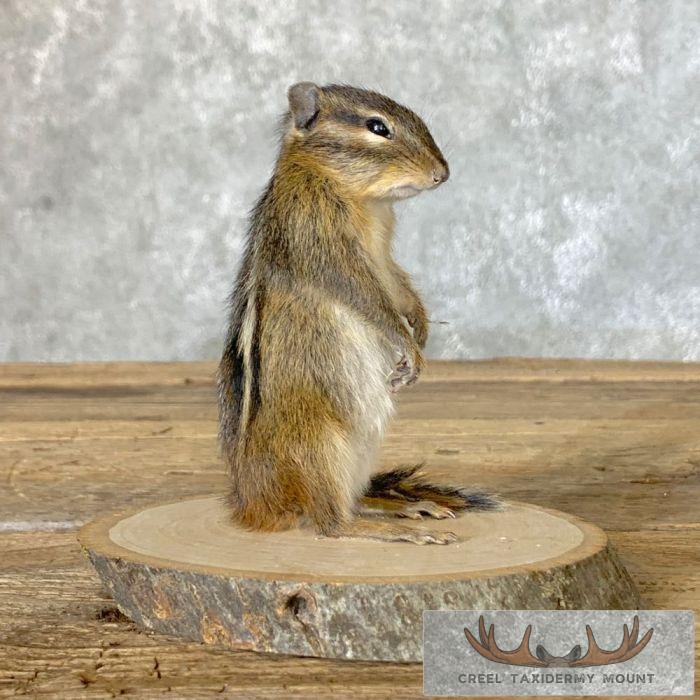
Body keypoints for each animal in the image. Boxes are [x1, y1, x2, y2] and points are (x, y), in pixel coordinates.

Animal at [218, 82, 498, 545]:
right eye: (377, 127)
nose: (442, 174)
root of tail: (253, 500)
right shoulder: (321, 234)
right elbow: (371, 300)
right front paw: (409, 348)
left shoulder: (383, 254)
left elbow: (397, 286)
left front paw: (420, 329)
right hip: (319, 445)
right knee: (331, 523)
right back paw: (392, 528)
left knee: (349, 503)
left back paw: (406, 507)